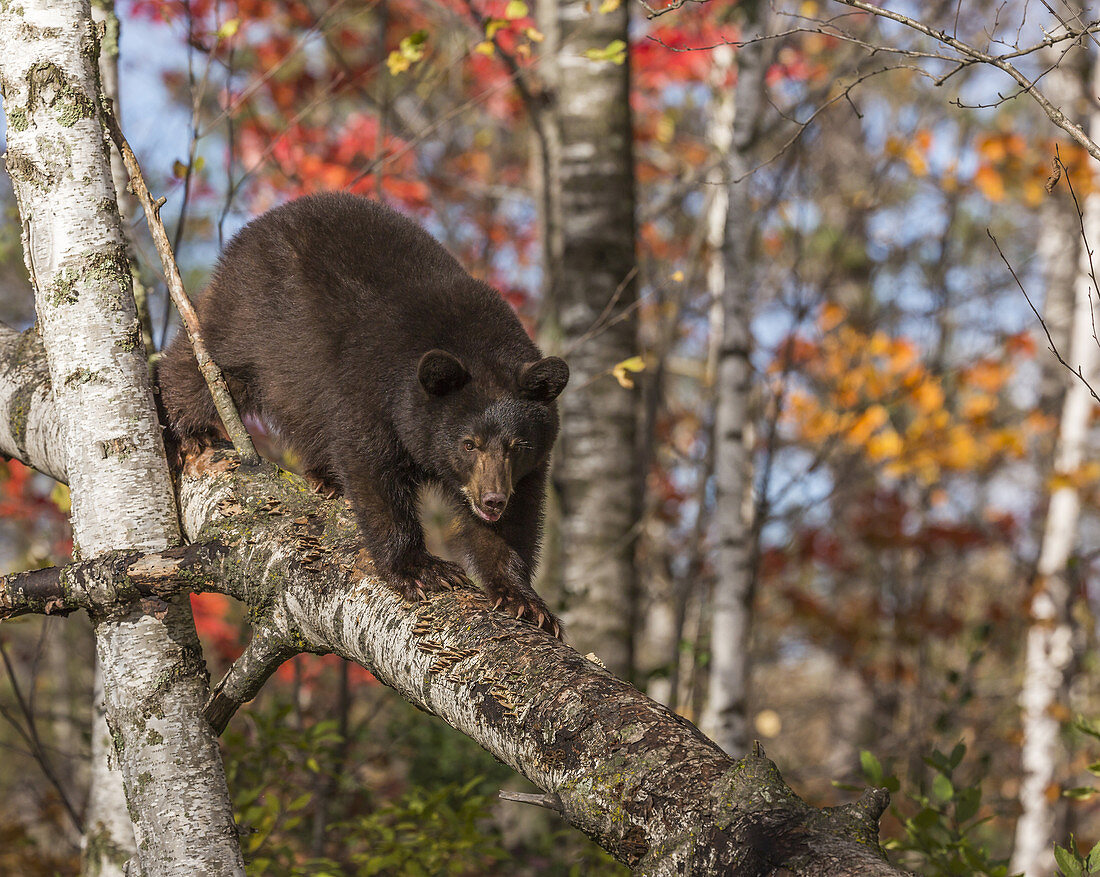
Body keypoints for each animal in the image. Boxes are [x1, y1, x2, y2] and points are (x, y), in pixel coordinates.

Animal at [159, 191, 572, 633]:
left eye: (516, 445)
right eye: (468, 443)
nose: (492, 499)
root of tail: (260, 224)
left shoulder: (527, 466)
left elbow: (516, 520)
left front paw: (524, 600)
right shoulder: (373, 391)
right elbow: (372, 470)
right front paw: (421, 569)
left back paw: (324, 477)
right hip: (252, 318)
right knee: (208, 365)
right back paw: (187, 428)